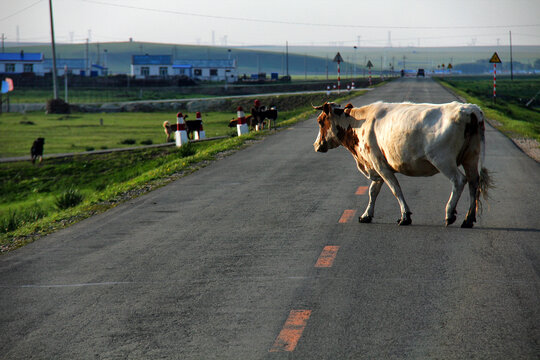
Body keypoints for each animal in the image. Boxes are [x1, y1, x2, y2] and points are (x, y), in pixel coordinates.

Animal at [312, 100, 494, 228]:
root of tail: (471, 109)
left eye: (320, 121)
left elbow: (395, 189)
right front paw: (366, 215)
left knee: (459, 181)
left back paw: (450, 214)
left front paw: (405, 216)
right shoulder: (377, 166)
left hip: (443, 160)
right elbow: (373, 191)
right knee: (473, 183)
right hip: (471, 158)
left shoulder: (379, 164)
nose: (316, 145)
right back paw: (468, 219)